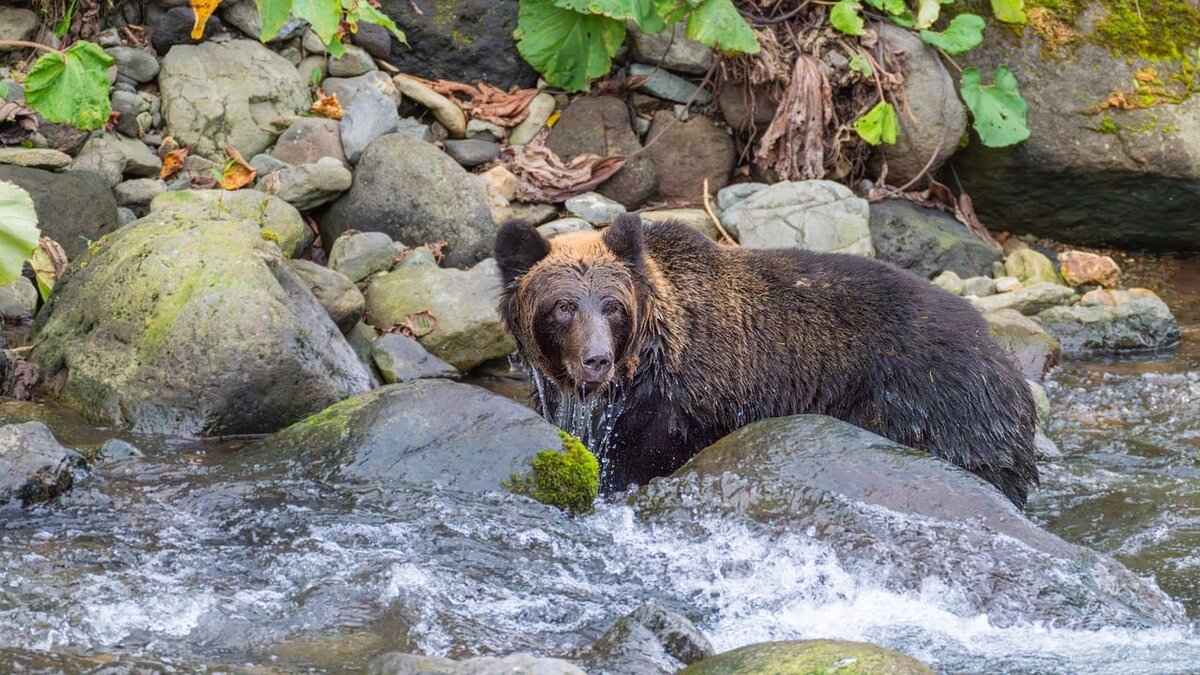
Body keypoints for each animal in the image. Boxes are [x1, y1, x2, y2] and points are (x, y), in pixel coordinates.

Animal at [494, 214, 1039, 508]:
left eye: (612, 305)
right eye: (563, 306)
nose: (596, 359)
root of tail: (1006, 363)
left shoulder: (682, 409)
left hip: (934, 406)